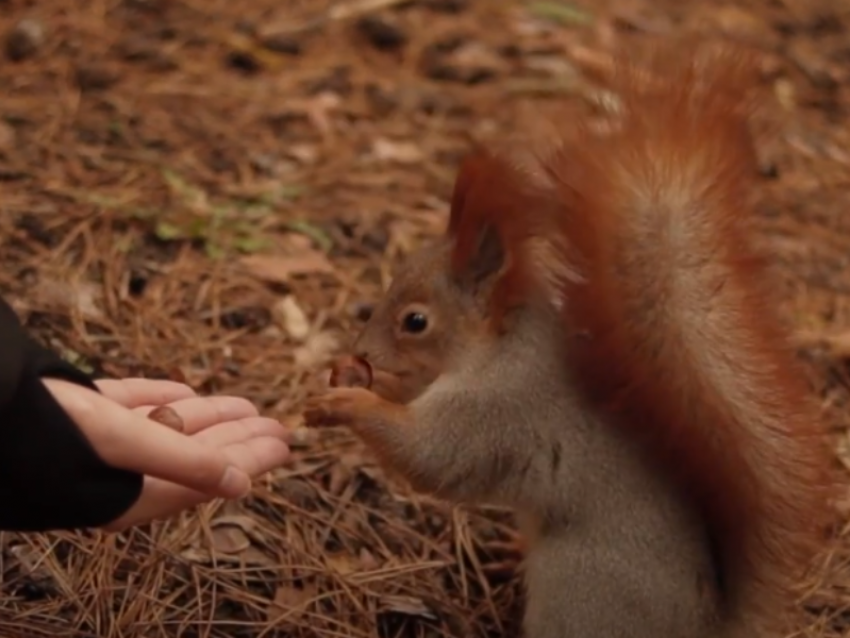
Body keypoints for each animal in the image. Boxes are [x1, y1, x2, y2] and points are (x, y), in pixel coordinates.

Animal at [302, 43, 840, 638]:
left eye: (415, 321)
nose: (362, 352)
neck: (498, 347)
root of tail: (706, 628)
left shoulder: (499, 411)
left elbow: (429, 454)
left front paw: (348, 402)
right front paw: (349, 377)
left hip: (579, 588)